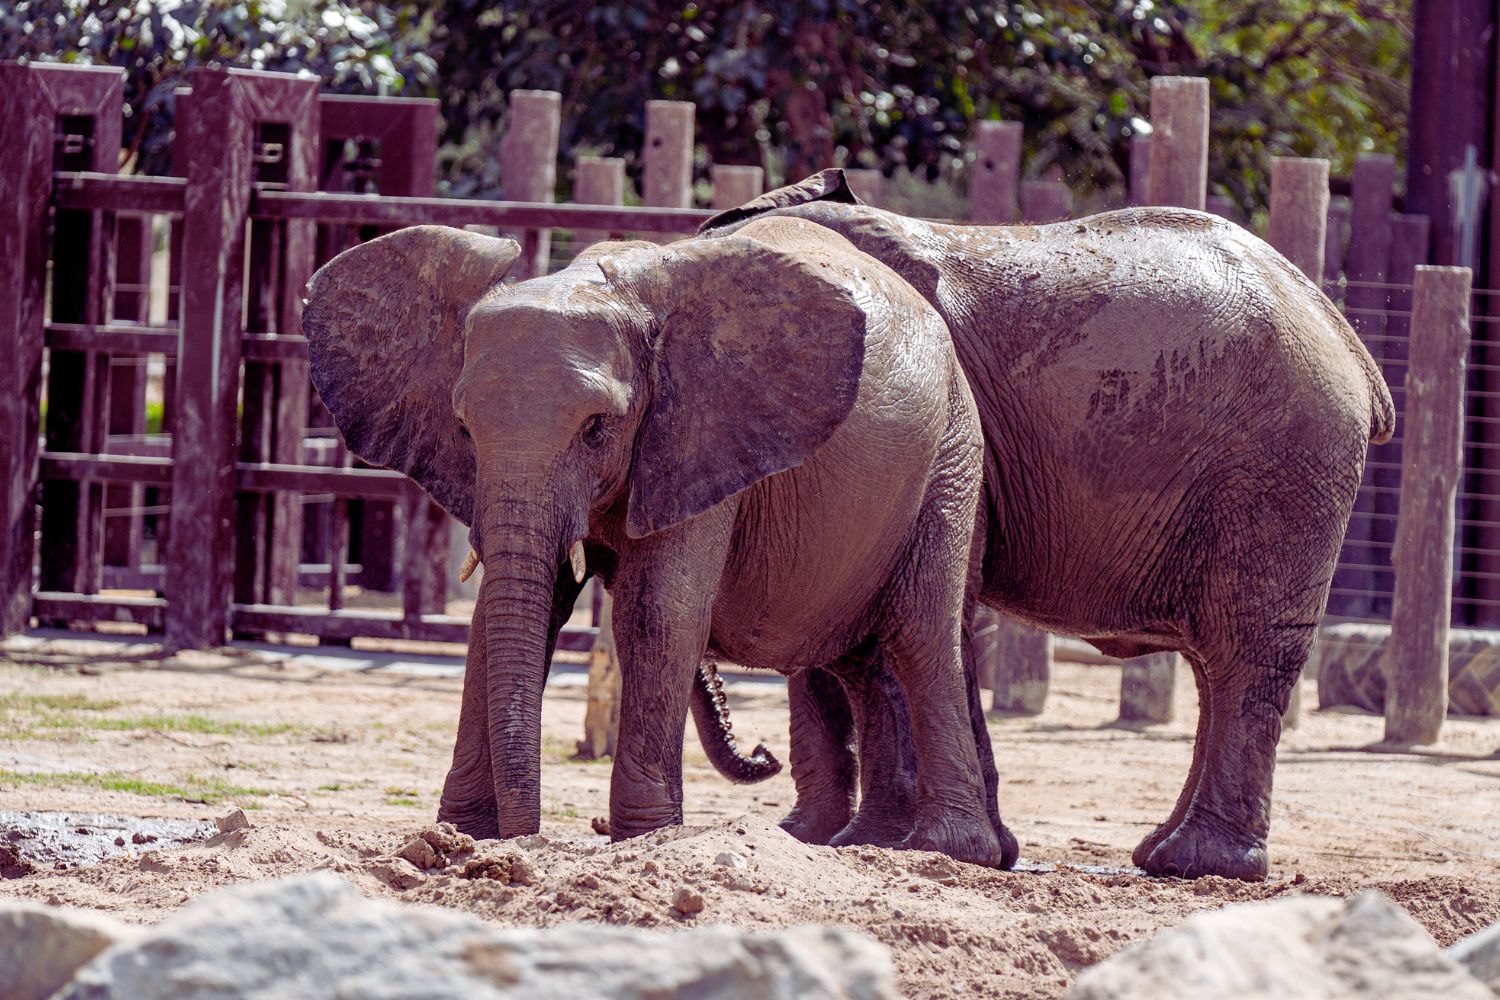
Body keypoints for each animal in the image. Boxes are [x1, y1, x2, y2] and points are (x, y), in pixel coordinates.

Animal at [298, 217, 1014, 869]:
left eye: (597, 428)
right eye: (464, 429)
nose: (522, 844)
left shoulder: (702, 431)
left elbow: (657, 612)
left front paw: (643, 839)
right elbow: (511, 612)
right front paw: (459, 835)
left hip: (953, 455)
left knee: (920, 636)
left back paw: (949, 852)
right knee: (862, 659)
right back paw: (868, 846)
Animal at [690, 172, 1392, 881]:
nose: (760, 754)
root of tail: (1349, 342)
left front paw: (875, 843)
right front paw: (833, 839)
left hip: (1283, 469)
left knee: (1246, 649)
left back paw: (1201, 862)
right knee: (1214, 662)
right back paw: (1161, 854)